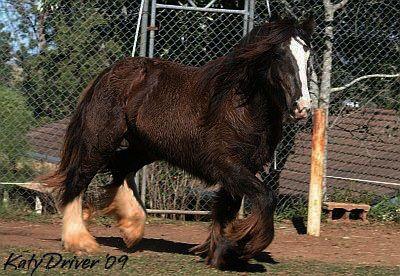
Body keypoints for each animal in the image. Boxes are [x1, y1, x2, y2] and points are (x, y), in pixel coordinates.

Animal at [42, 16, 314, 270]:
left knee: (120, 168)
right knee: (79, 177)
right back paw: (79, 240)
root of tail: (109, 72)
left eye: (307, 54)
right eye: (278, 54)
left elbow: (226, 210)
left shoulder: (240, 170)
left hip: (145, 148)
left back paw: (131, 228)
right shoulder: (227, 166)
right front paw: (245, 246)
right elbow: (265, 198)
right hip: (102, 141)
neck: (240, 106)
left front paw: (223, 254)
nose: (302, 108)